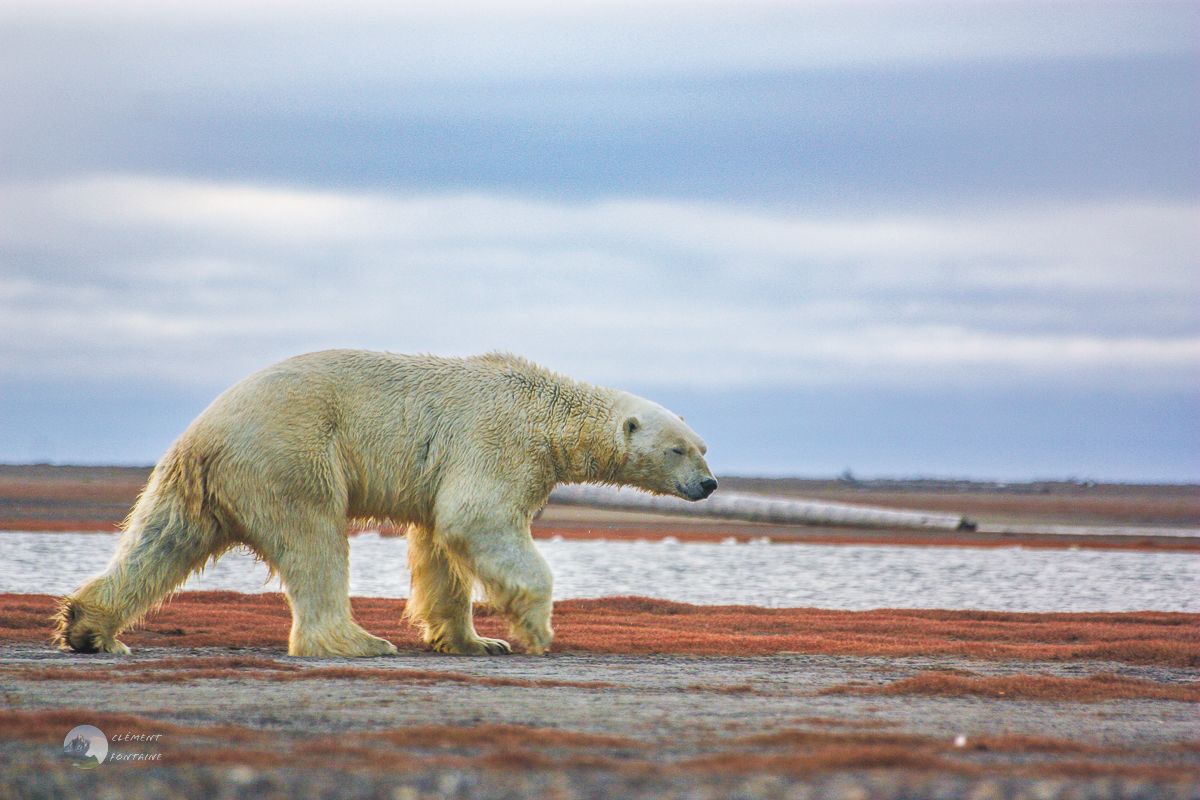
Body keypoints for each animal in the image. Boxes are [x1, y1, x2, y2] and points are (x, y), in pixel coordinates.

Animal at [54, 352, 710, 662]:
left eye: (704, 446)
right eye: (678, 448)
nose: (708, 484)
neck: (547, 412)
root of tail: (205, 434)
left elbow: (441, 545)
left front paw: (475, 642)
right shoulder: (498, 441)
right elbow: (478, 518)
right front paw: (535, 629)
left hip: (197, 481)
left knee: (161, 541)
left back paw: (90, 627)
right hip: (291, 457)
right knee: (315, 541)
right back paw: (355, 640)